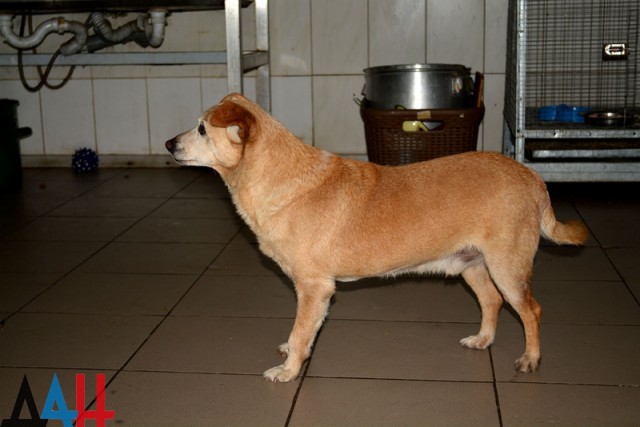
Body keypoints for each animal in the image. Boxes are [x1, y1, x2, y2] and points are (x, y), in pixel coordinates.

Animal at [166, 93, 592, 382]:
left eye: (202, 128)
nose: (169, 144)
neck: (281, 180)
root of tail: (532, 177)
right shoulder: (314, 293)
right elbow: (304, 330)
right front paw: (294, 354)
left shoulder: (314, 287)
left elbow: (301, 331)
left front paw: (289, 370)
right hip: (471, 266)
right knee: (492, 302)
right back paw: (482, 340)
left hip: (507, 269)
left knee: (531, 310)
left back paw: (531, 358)